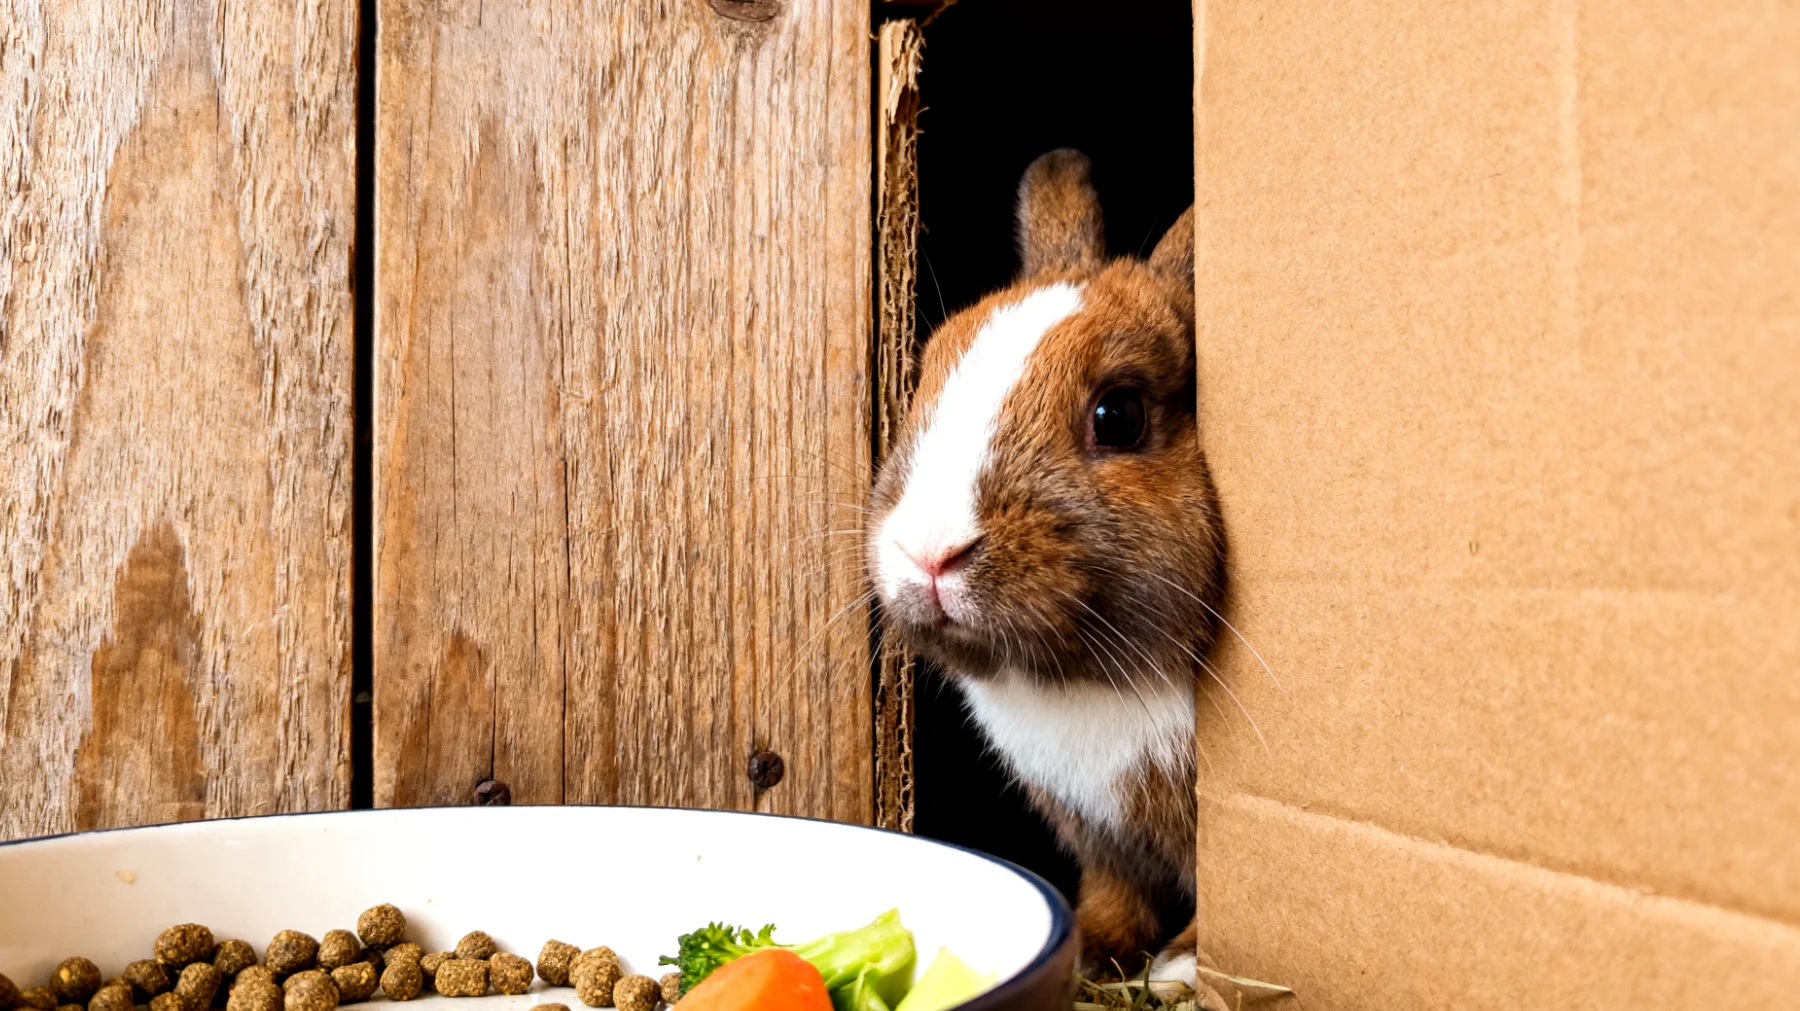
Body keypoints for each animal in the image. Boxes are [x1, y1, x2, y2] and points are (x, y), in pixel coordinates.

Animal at [867, 148, 1218, 984]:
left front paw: (1179, 969)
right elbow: (1115, 896)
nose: (930, 548)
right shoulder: (1103, 842)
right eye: (927, 368)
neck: (1078, 683)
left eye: (1118, 415)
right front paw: (1084, 948)